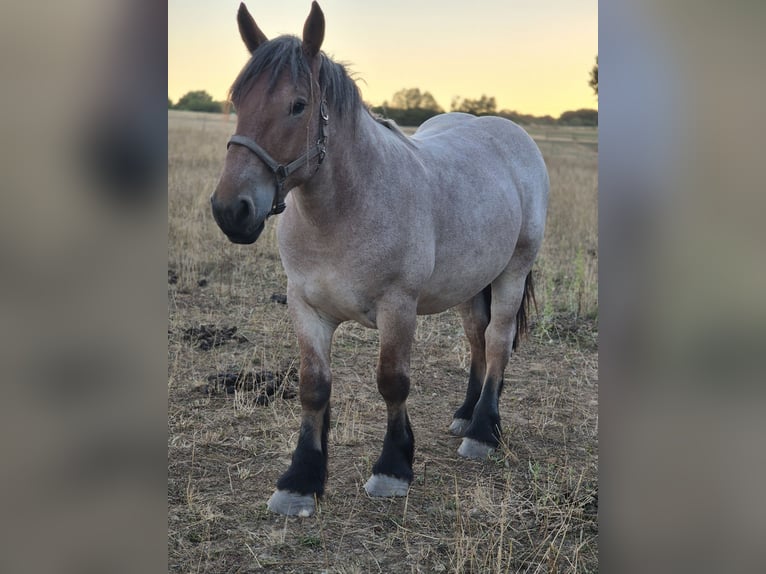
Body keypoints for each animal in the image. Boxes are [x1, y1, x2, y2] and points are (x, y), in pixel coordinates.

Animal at [211, 2, 549, 516]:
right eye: (237, 100)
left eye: (298, 105)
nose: (232, 210)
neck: (344, 211)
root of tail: (508, 132)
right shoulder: (305, 307)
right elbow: (313, 386)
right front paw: (300, 480)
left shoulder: (397, 307)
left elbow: (392, 382)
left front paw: (393, 469)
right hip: (472, 281)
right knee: (477, 338)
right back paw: (465, 413)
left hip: (513, 270)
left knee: (497, 341)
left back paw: (482, 431)